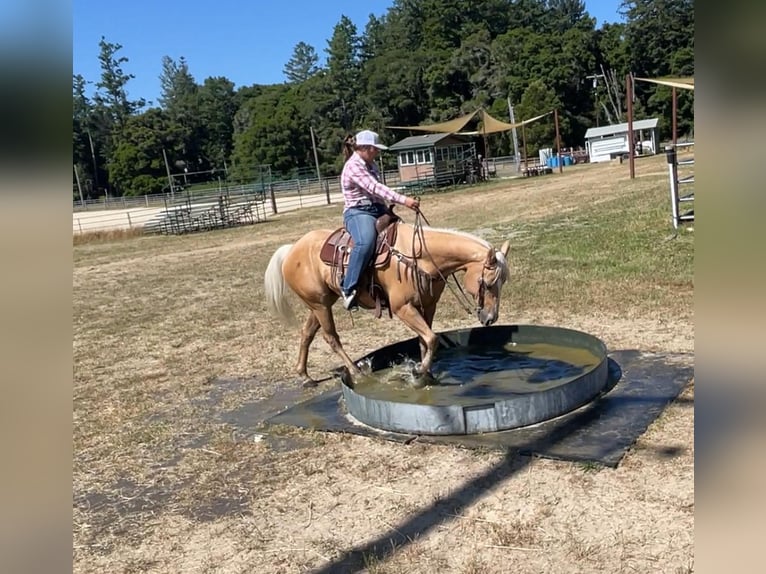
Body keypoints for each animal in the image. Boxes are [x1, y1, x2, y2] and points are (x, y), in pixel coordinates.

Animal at [263, 215, 511, 387]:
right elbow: (431, 339)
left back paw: (305, 376)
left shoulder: (428, 306)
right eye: (488, 283)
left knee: (307, 333)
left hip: (319, 303)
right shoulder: (403, 308)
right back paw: (356, 372)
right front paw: (418, 372)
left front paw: (426, 374)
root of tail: (292, 249)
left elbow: (425, 341)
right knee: (331, 337)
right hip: (320, 305)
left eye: (503, 282)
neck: (419, 257)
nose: (491, 318)